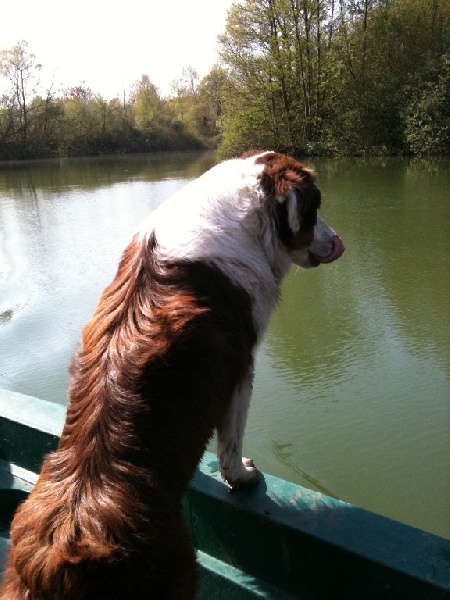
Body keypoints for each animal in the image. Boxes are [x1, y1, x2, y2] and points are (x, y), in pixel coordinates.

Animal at [0, 151, 344, 600]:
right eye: (315, 208)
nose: (337, 241)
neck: (243, 217)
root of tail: (63, 554)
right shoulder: (241, 368)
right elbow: (231, 440)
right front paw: (242, 476)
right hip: (176, 571)